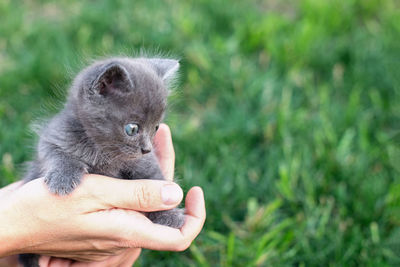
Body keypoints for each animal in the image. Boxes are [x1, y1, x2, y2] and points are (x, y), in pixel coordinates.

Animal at [19, 57, 184, 267]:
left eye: (156, 127)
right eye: (132, 128)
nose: (146, 148)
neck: (103, 150)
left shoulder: (144, 162)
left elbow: (155, 177)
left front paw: (169, 214)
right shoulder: (54, 137)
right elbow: (57, 155)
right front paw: (63, 178)